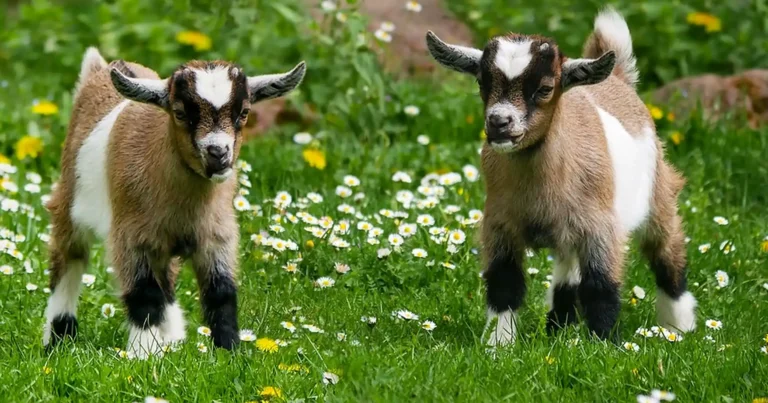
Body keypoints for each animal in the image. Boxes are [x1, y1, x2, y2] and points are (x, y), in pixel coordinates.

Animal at [42, 47, 306, 358]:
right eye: (180, 113)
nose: (218, 153)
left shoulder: (217, 236)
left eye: (244, 113)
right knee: (68, 260)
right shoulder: (131, 238)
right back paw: (57, 339)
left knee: (166, 281)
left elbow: (221, 293)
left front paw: (228, 352)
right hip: (69, 205)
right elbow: (143, 294)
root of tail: (100, 69)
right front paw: (142, 355)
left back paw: (172, 339)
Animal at [426, 7, 696, 345]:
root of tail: (618, 79)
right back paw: (558, 327)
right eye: (481, 83)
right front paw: (498, 344)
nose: (499, 122)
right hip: (568, 232)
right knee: (568, 272)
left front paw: (603, 344)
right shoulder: (500, 224)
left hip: (658, 195)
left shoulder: (601, 229)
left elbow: (601, 287)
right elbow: (505, 283)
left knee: (667, 253)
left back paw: (679, 327)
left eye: (544, 88)